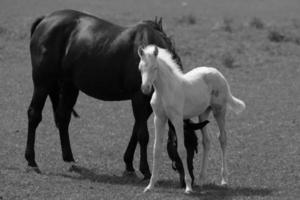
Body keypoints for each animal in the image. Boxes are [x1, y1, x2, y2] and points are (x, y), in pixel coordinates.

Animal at [25, 9, 209, 186]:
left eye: (195, 147)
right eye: (179, 145)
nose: (188, 180)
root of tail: (45, 19)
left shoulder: (148, 104)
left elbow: (136, 131)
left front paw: (129, 165)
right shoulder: (138, 98)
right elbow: (143, 135)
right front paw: (145, 171)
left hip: (70, 86)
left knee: (63, 118)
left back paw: (69, 159)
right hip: (43, 83)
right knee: (34, 115)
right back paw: (31, 161)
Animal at [138, 44, 246, 193]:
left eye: (155, 68)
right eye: (140, 68)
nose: (145, 88)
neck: (165, 91)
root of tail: (218, 73)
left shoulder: (177, 119)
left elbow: (182, 150)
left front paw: (188, 187)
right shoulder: (159, 118)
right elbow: (156, 150)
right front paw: (150, 185)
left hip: (219, 110)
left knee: (223, 138)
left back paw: (224, 179)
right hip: (203, 113)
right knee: (206, 141)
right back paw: (201, 180)